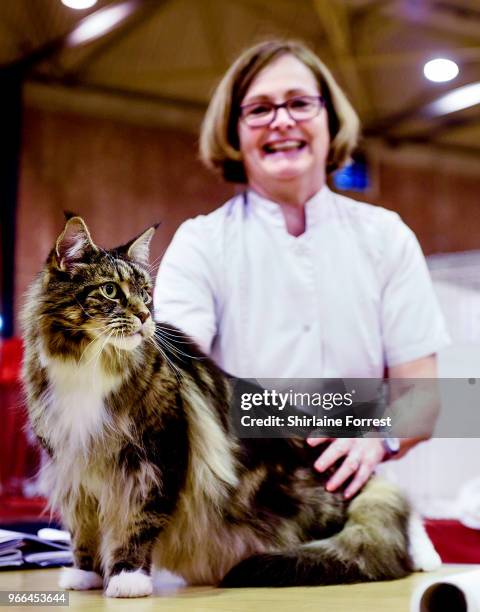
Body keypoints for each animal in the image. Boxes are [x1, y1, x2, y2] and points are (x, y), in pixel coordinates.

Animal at [20, 215, 440, 596]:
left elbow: (137, 523)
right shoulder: (74, 468)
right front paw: (84, 575)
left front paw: (127, 578)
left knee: (386, 504)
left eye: (147, 295)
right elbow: (83, 531)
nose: (144, 316)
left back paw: (422, 554)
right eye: (110, 290)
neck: (90, 364)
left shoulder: (157, 457)